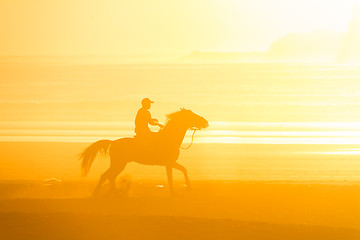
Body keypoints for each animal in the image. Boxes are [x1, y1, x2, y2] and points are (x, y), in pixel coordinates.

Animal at [79, 109, 208, 195]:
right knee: (106, 176)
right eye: (192, 115)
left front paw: (188, 188)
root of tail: (113, 142)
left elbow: (183, 170)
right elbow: (171, 178)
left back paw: (113, 193)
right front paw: (175, 192)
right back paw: (108, 193)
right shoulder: (169, 163)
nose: (206, 122)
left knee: (109, 177)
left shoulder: (170, 163)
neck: (169, 138)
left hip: (120, 164)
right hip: (119, 163)